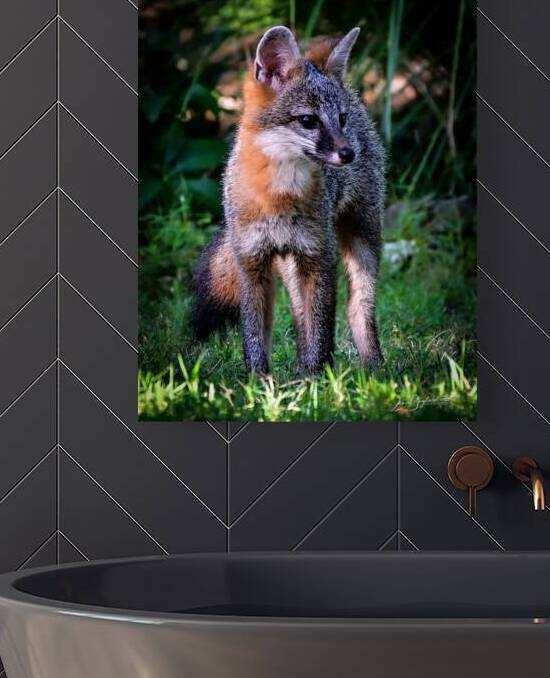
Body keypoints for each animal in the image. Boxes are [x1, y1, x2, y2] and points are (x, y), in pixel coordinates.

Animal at [192, 25, 385, 375]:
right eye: (308, 121)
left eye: (341, 119)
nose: (349, 153)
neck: (277, 197)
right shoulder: (252, 263)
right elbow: (255, 339)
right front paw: (260, 383)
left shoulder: (320, 258)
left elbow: (321, 331)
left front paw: (317, 379)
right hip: (290, 265)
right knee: (298, 316)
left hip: (362, 241)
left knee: (358, 308)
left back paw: (374, 369)